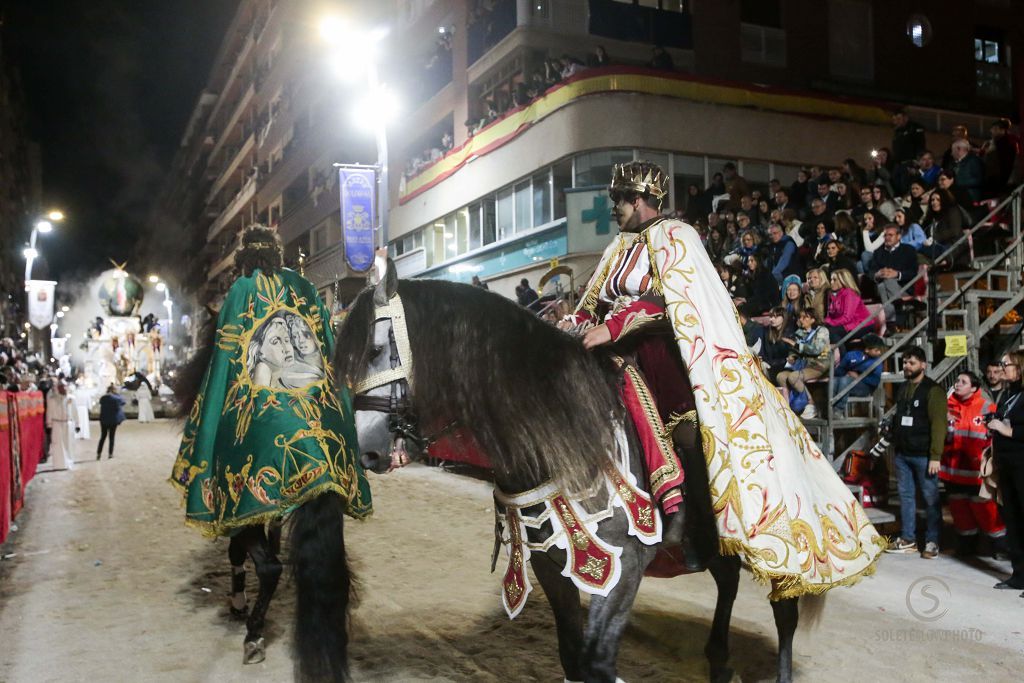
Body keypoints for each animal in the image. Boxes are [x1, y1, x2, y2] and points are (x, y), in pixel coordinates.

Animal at [337, 268, 823, 683]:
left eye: (377, 350)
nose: (367, 449)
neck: (560, 429)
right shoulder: (552, 567)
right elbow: (572, 656)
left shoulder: (624, 568)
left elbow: (597, 661)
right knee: (727, 579)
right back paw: (718, 660)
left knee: (785, 612)